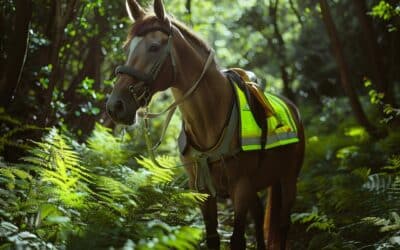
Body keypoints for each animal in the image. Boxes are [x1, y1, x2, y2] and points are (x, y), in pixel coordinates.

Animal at [104, 0, 304, 249]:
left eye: (154, 47)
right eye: (126, 48)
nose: (115, 106)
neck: (210, 118)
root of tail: (293, 108)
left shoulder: (241, 187)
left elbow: (237, 239)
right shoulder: (201, 190)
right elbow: (212, 238)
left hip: (288, 178)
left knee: (283, 224)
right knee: (259, 215)